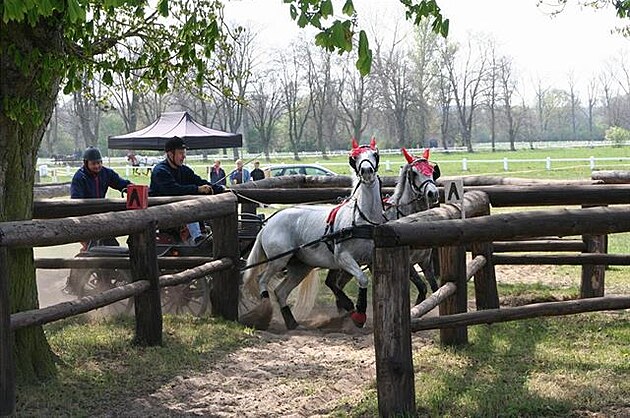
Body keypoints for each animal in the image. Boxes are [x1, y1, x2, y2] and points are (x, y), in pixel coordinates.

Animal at [239, 139, 382, 332]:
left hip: (300, 267)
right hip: (279, 260)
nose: (367, 171)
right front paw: (358, 314)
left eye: (375, 154)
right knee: (262, 280)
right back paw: (264, 309)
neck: (361, 218)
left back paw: (292, 322)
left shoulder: (372, 259)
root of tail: (269, 224)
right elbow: (362, 279)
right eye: (355, 157)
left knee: (281, 292)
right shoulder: (343, 258)